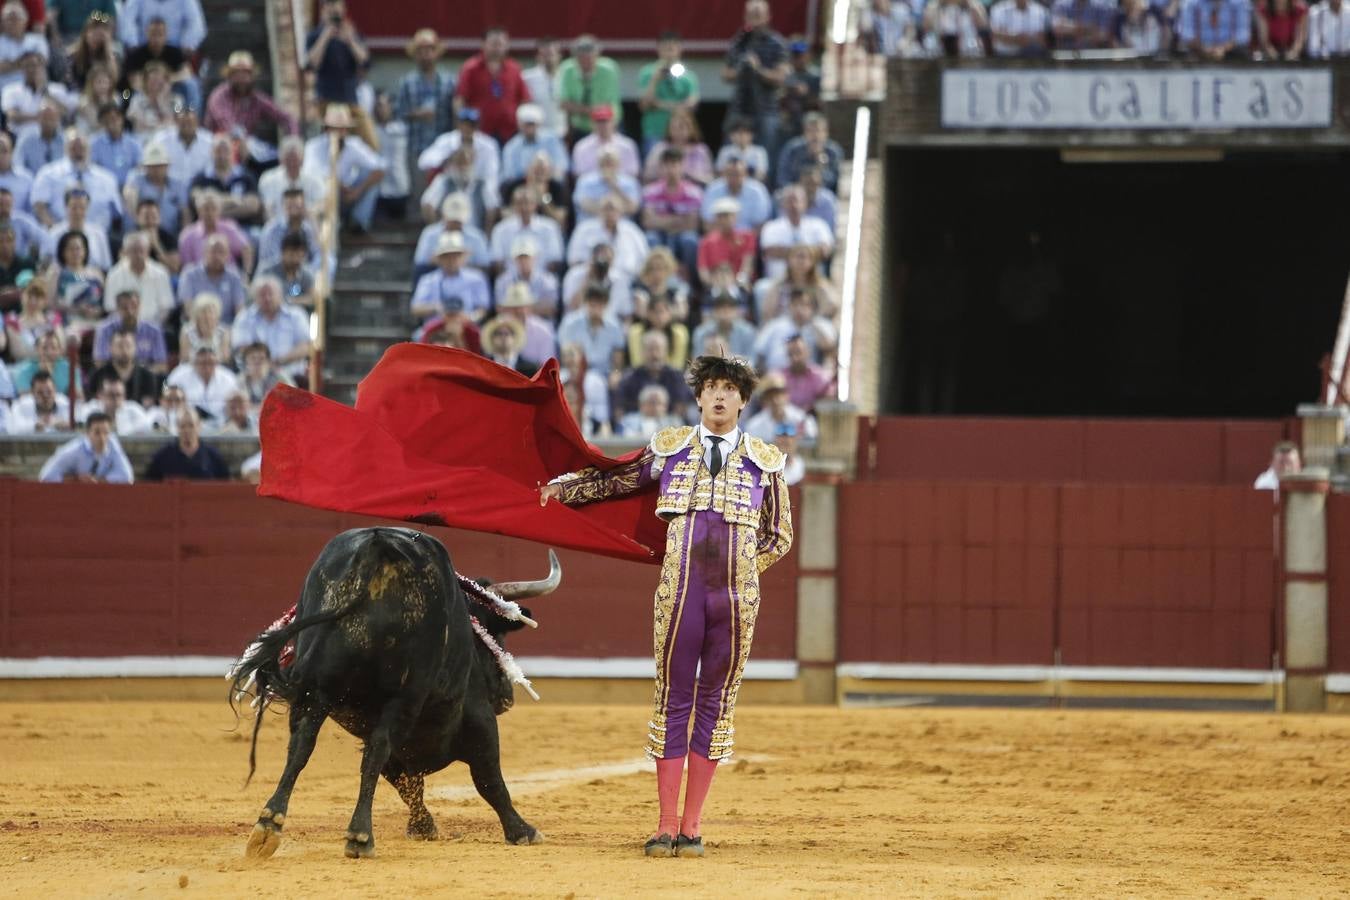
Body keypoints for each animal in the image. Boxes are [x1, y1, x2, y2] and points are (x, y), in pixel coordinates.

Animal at [229, 528, 556, 858]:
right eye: (494, 634)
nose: (506, 697)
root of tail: (378, 545)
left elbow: (405, 783)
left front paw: (422, 827)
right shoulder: (480, 718)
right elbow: (489, 779)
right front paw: (522, 831)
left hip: (319, 687)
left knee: (301, 745)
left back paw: (268, 825)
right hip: (403, 694)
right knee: (376, 751)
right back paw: (360, 836)